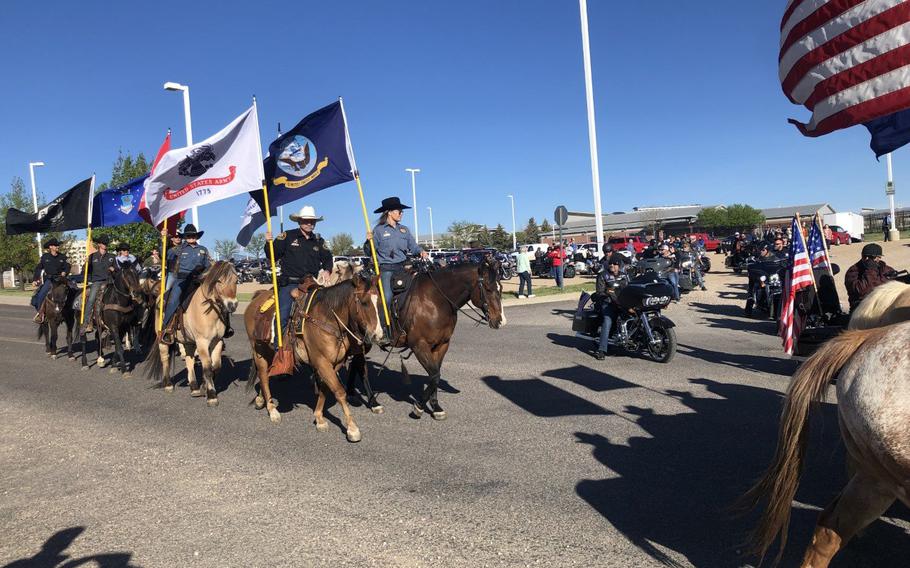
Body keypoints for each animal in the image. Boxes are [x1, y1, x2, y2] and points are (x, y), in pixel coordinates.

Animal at [145, 260, 239, 406]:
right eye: (218, 281)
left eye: (236, 280)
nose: (232, 305)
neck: (209, 311)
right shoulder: (202, 342)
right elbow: (207, 368)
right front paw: (211, 395)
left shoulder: (217, 341)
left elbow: (216, 366)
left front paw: (204, 387)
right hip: (162, 340)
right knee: (165, 358)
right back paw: (168, 384)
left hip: (187, 340)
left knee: (189, 359)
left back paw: (194, 387)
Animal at [240, 272, 382, 442]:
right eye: (364, 302)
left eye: (378, 302)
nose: (378, 335)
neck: (328, 318)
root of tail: (256, 298)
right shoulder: (322, 361)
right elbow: (339, 392)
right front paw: (352, 429)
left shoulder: (334, 363)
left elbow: (325, 389)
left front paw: (319, 418)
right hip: (259, 352)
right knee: (263, 376)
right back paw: (272, 409)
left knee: (265, 376)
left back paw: (261, 399)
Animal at [350, 255, 506, 420]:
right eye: (488, 288)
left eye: (501, 287)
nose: (500, 321)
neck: (436, 300)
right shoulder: (419, 346)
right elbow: (434, 375)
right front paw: (418, 407)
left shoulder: (441, 345)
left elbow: (435, 374)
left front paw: (436, 407)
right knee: (360, 366)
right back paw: (372, 402)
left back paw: (352, 394)